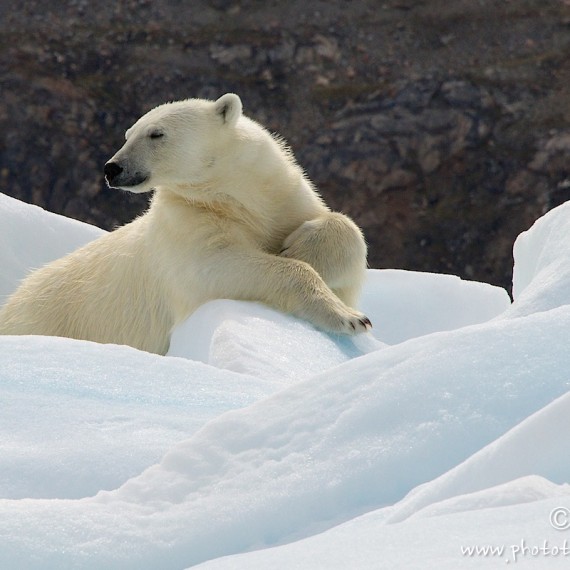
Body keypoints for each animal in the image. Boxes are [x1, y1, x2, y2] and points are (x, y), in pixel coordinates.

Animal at [0, 92, 368, 350]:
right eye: (128, 134)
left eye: (156, 134)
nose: (112, 168)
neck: (234, 194)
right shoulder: (186, 223)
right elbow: (214, 266)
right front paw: (352, 318)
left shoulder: (283, 197)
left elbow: (345, 232)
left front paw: (300, 247)